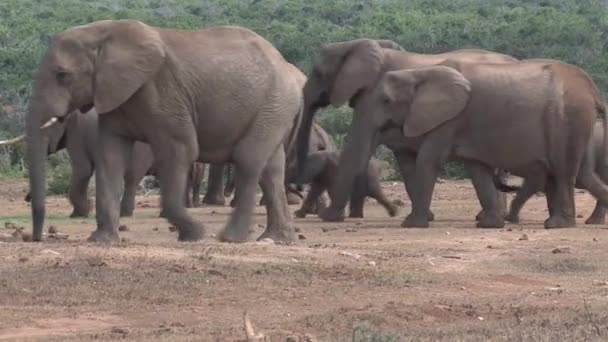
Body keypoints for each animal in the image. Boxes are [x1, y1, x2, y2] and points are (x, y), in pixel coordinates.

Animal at [25, 20, 302, 242]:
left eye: (62, 75)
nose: (36, 238)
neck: (102, 32)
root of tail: (286, 63)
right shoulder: (114, 96)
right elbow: (110, 157)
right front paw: (101, 240)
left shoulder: (164, 93)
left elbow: (179, 150)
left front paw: (194, 234)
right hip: (275, 107)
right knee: (271, 169)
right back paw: (277, 239)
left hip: (275, 101)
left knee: (248, 159)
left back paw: (231, 238)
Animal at [294, 39, 516, 224]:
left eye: (318, 72)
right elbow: (406, 163)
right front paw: (425, 216)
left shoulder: (373, 97)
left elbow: (357, 148)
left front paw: (329, 217)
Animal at [302, 54, 604, 228]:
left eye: (386, 100)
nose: (329, 217)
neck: (420, 73)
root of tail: (593, 90)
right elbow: (476, 169)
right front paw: (489, 225)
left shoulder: (449, 120)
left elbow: (428, 159)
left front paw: (412, 224)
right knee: (564, 174)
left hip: (568, 120)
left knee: (564, 172)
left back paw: (557, 225)